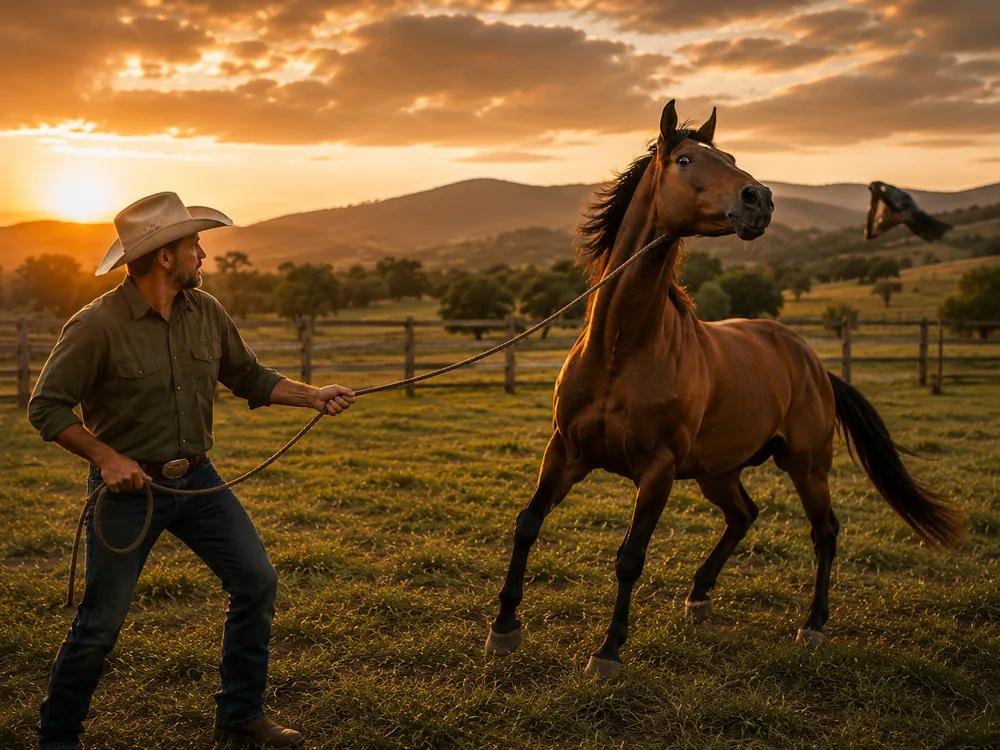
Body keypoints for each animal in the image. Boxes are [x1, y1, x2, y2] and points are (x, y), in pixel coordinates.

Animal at [484, 100, 965, 678]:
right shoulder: (565, 451)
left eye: (732, 158)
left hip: (806, 466)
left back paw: (813, 624)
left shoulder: (659, 469)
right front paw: (503, 627)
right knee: (744, 515)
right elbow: (528, 523)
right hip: (719, 471)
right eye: (685, 159)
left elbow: (630, 556)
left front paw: (609, 650)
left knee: (824, 531)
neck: (622, 348)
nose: (760, 200)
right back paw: (700, 595)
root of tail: (810, 360)